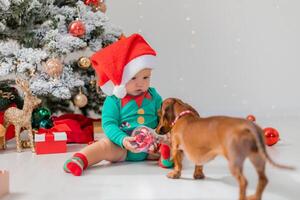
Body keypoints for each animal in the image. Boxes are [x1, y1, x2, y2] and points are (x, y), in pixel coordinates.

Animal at [157, 98, 292, 200]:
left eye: (159, 114)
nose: (156, 130)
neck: (183, 116)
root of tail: (247, 126)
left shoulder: (176, 148)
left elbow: (178, 164)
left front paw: (174, 174)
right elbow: (199, 165)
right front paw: (198, 175)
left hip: (234, 161)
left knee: (244, 182)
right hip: (257, 157)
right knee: (263, 180)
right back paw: (255, 197)